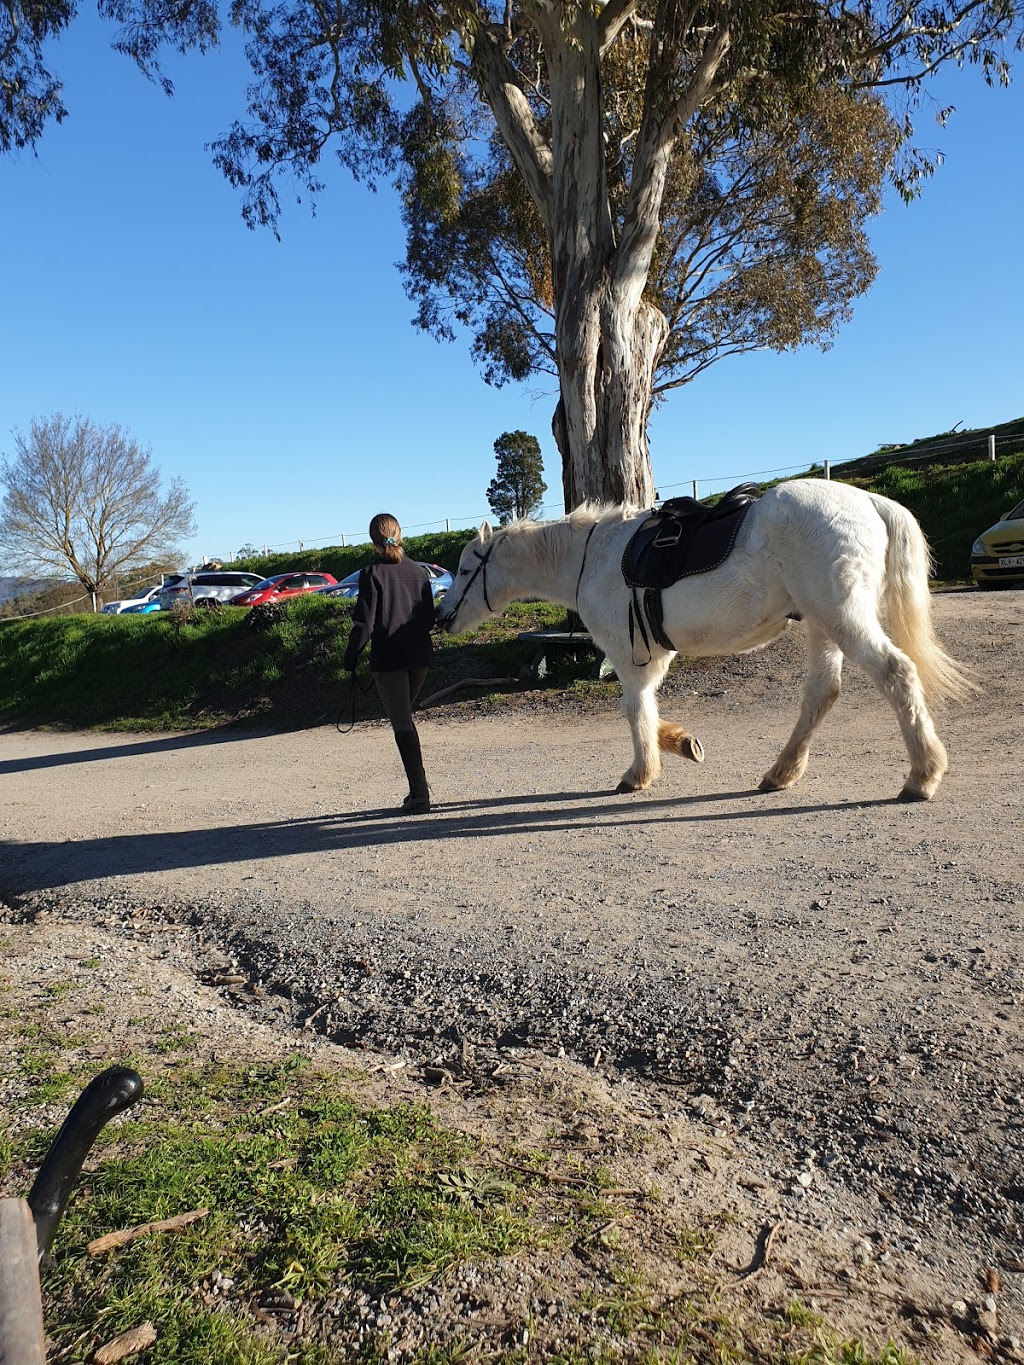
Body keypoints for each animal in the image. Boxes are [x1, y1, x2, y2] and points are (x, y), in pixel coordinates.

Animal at [434, 480, 977, 797]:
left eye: (464, 566)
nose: (440, 615)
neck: (595, 555)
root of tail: (866, 499)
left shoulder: (628, 656)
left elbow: (635, 711)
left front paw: (640, 773)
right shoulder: (652, 656)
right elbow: (649, 711)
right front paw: (679, 743)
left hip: (843, 617)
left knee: (897, 673)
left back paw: (922, 776)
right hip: (823, 625)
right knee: (821, 694)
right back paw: (781, 772)